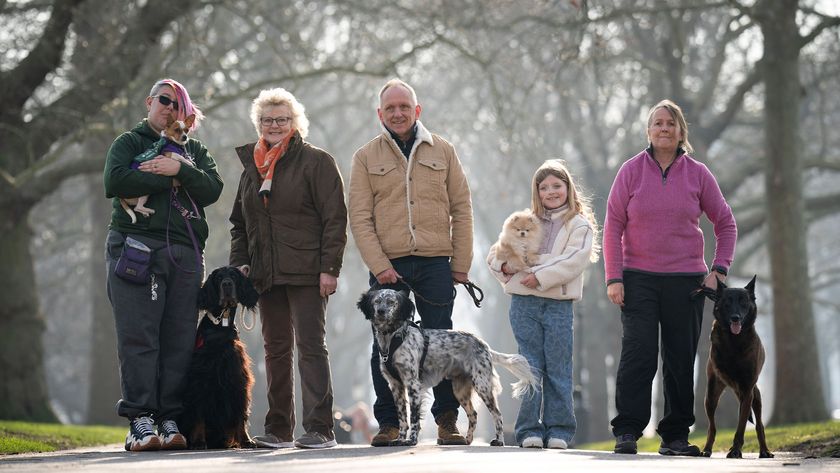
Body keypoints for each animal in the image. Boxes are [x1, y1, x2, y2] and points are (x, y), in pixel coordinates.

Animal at [181, 268, 260, 448]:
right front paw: (198, 441)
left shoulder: (238, 378)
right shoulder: (200, 379)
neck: (220, 326)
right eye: (218, 278)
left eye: (234, 276)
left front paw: (246, 440)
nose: (227, 284)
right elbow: (199, 412)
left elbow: (240, 413)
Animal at [696, 276, 776, 458]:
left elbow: (741, 426)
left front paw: (735, 450)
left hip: (755, 397)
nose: (735, 318)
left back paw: (764, 450)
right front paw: (732, 449)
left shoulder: (747, 390)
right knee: (712, 426)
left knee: (759, 424)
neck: (734, 340)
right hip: (710, 397)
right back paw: (707, 449)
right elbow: (716, 426)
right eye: (727, 302)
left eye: (743, 302)